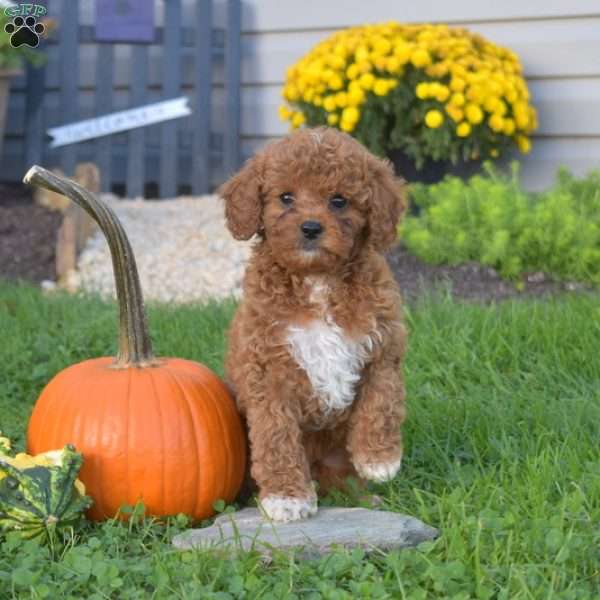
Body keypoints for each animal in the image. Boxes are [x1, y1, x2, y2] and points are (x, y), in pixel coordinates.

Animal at [220, 126, 408, 520]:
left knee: (340, 479)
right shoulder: (267, 370)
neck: (317, 279)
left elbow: (382, 400)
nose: (310, 228)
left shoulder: (383, 345)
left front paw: (379, 458)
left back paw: (363, 496)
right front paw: (286, 497)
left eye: (339, 201)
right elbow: (276, 436)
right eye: (285, 197)